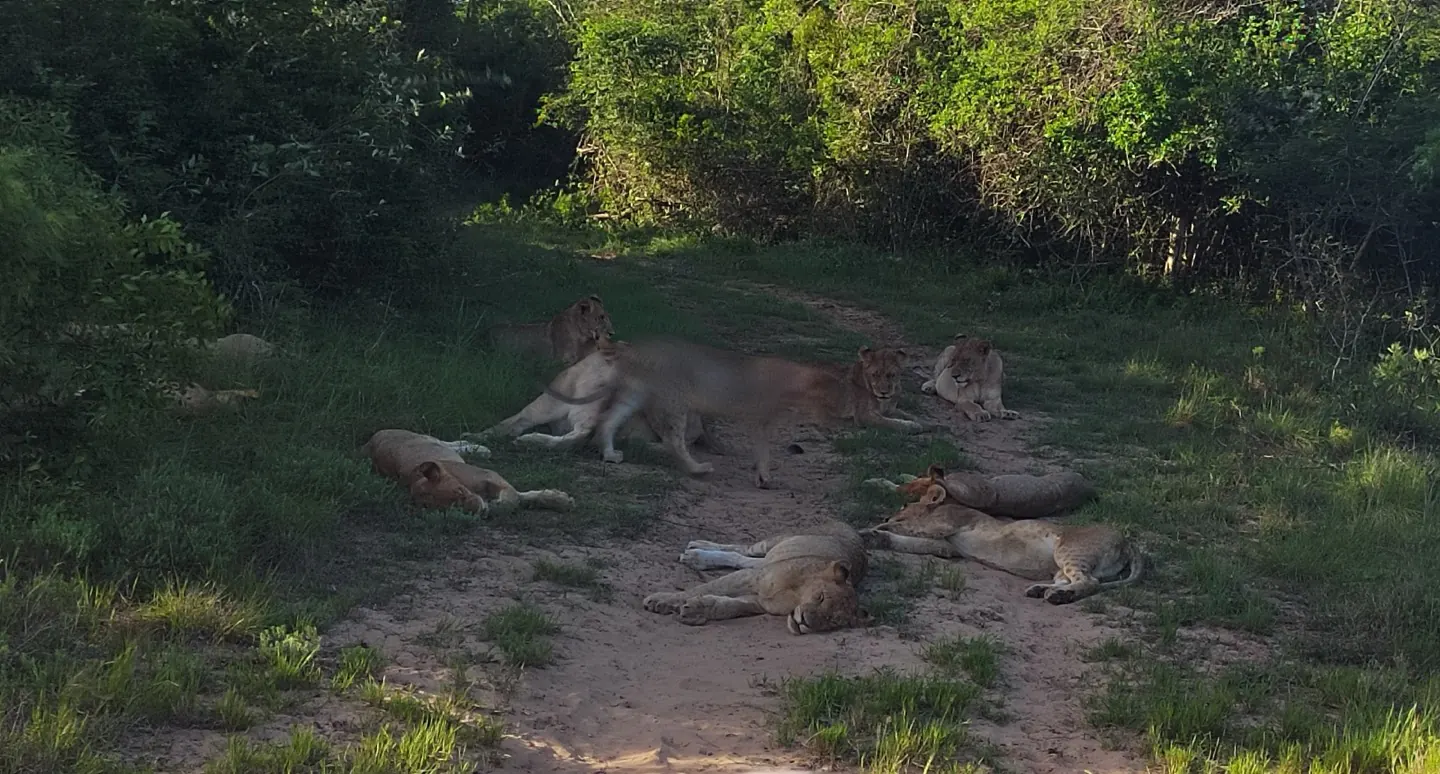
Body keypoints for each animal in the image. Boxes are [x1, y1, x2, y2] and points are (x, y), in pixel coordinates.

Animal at [362, 429, 573, 515]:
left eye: (460, 492)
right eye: (450, 508)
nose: (477, 509)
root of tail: (369, 441)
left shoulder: (493, 476)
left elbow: (515, 498)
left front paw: (560, 500)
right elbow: (519, 498)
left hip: (424, 438)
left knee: (446, 441)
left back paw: (481, 448)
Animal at [549, 338, 928, 487]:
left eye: (892, 374)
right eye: (877, 374)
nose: (884, 389)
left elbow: (905, 414)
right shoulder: (865, 418)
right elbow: (896, 423)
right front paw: (915, 427)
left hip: (637, 395)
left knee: (609, 421)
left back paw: (610, 453)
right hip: (677, 404)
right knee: (673, 440)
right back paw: (698, 468)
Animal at [644, 520, 869, 634]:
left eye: (831, 621)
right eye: (821, 597)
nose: (805, 622)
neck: (796, 597)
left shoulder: (758, 601)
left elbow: (728, 606)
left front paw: (696, 609)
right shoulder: (752, 578)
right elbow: (705, 588)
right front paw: (661, 600)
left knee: (745, 559)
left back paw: (696, 556)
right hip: (774, 542)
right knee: (742, 550)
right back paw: (696, 550)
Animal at [860, 484, 1142, 604]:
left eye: (904, 505)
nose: (887, 515)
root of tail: (1128, 541)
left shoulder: (946, 524)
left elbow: (907, 529)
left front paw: (876, 527)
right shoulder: (947, 546)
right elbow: (907, 541)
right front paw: (872, 535)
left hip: (1069, 551)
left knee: (1089, 582)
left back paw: (1058, 597)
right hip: (1061, 567)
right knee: (1072, 580)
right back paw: (1041, 590)